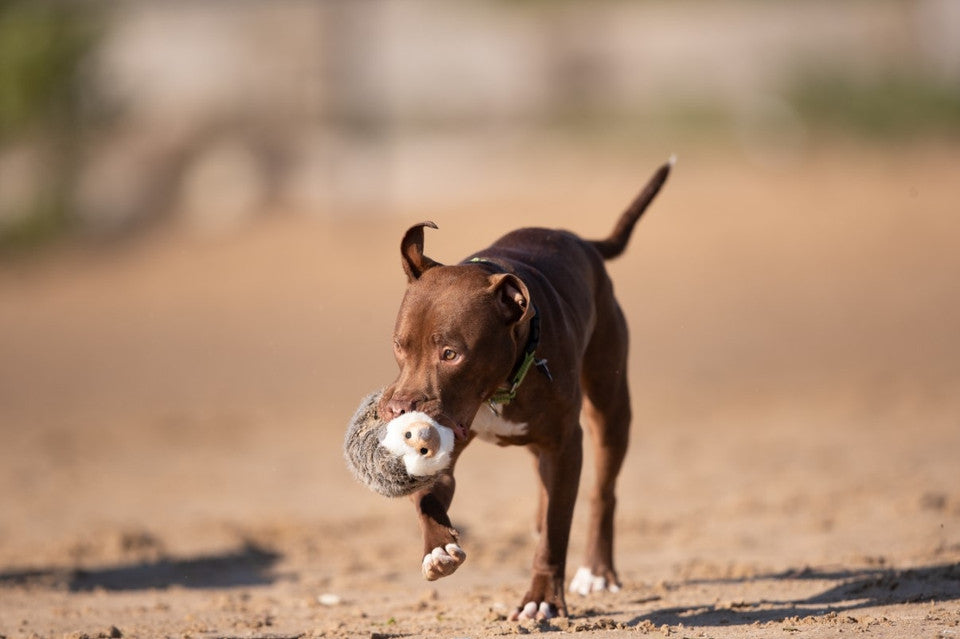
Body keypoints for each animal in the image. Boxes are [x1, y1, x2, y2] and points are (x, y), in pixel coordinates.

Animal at [378, 159, 672, 620]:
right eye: (399, 345)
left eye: (451, 353)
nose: (399, 409)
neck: (497, 389)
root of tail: (583, 243)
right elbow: (427, 497)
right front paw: (438, 549)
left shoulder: (567, 446)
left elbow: (556, 530)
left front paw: (542, 599)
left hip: (610, 407)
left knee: (602, 493)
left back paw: (597, 572)